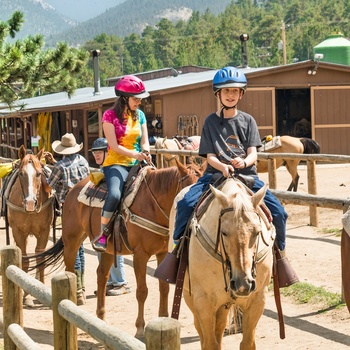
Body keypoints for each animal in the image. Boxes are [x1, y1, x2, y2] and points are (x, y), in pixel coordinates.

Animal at [23, 161, 202, 336]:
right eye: (189, 191)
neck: (153, 205)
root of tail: (73, 190)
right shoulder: (140, 255)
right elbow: (142, 291)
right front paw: (140, 328)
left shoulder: (162, 254)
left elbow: (164, 289)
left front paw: (164, 319)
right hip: (72, 240)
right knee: (70, 271)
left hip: (108, 249)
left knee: (101, 275)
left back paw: (101, 317)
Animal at [174, 179, 274, 348]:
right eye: (224, 232)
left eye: (257, 232)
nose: (243, 284)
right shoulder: (203, 302)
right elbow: (209, 343)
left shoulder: (257, 300)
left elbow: (247, 343)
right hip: (190, 296)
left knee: (220, 327)